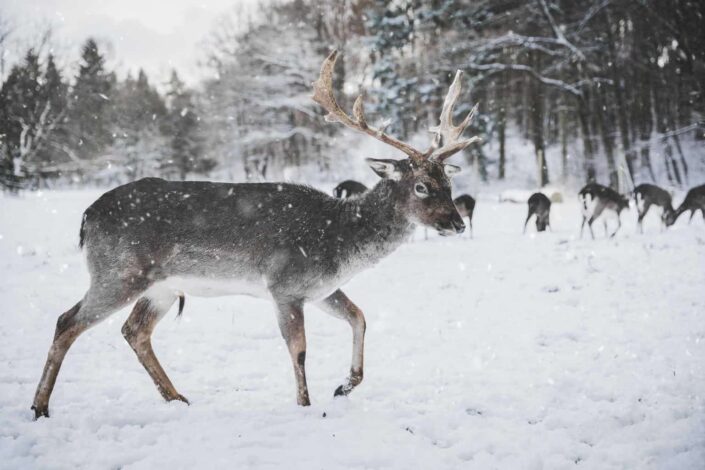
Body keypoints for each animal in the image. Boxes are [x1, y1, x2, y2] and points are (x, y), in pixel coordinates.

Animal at [28, 51, 478, 418]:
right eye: (421, 186)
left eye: (449, 182)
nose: (457, 223)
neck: (339, 241)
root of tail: (87, 216)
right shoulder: (285, 284)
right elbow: (299, 349)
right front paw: (305, 406)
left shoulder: (320, 288)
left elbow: (360, 317)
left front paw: (344, 386)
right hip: (119, 271)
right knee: (67, 321)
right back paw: (41, 406)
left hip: (162, 287)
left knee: (134, 331)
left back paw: (178, 398)